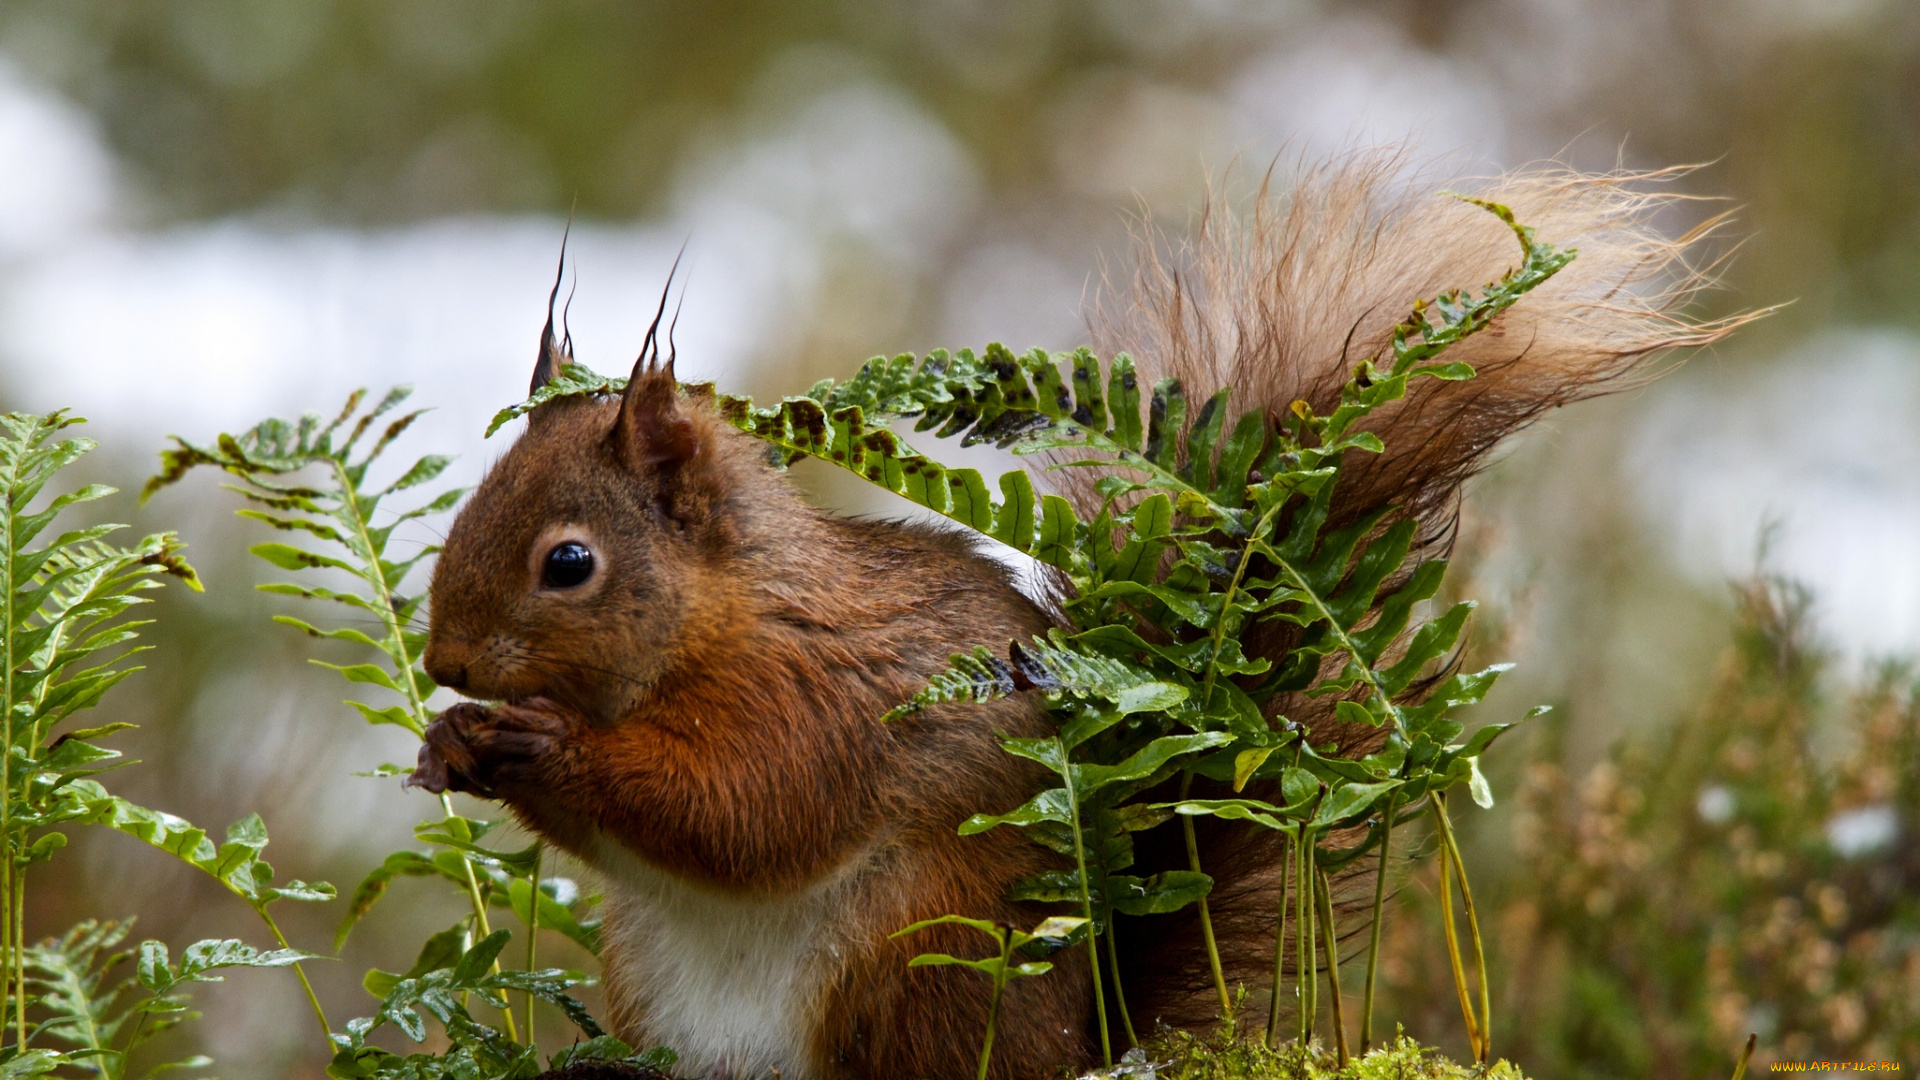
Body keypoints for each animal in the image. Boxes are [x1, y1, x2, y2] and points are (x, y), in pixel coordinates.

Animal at [405, 157, 1743, 1076]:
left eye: (568, 563)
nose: (444, 660)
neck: (721, 618)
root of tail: (1086, 1037)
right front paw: (455, 743)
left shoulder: (815, 695)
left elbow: (741, 810)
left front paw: (537, 741)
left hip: (918, 960)